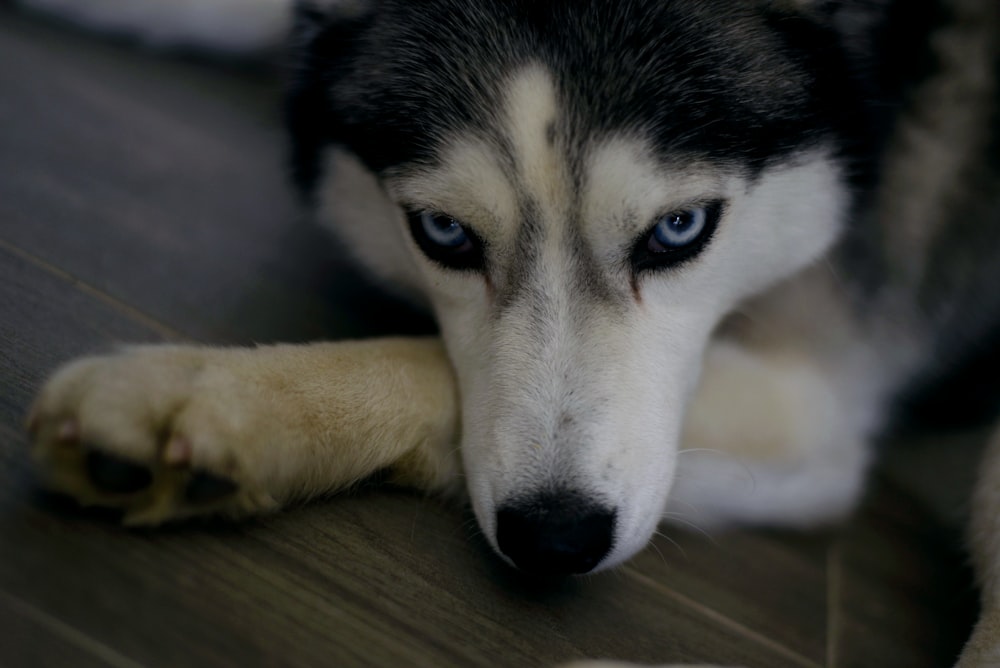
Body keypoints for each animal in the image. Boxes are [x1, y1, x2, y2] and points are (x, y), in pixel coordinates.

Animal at [19, 0, 1000, 664]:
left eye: (679, 229)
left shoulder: (814, 407)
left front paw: (214, 395)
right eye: (443, 233)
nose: (556, 540)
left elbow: (418, 364)